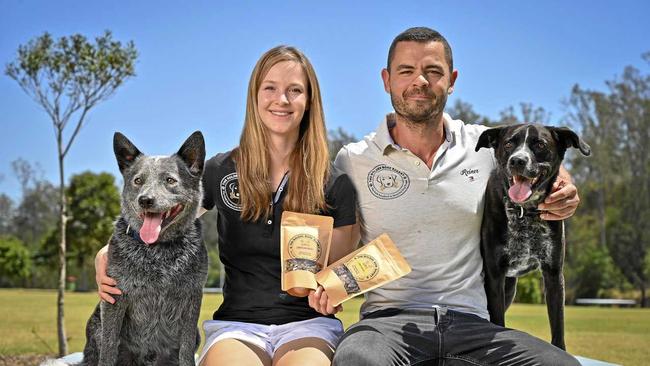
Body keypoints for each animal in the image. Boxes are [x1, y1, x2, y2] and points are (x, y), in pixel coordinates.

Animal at [79, 130, 208, 364]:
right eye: (138, 180)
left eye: (170, 180)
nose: (145, 200)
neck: (158, 251)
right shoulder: (115, 298)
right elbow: (109, 347)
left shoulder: (192, 298)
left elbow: (185, 350)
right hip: (96, 325)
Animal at [474, 124, 588, 350]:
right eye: (509, 143)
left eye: (540, 144)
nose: (517, 161)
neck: (524, 212)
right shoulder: (495, 276)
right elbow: (497, 321)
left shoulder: (553, 274)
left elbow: (558, 326)